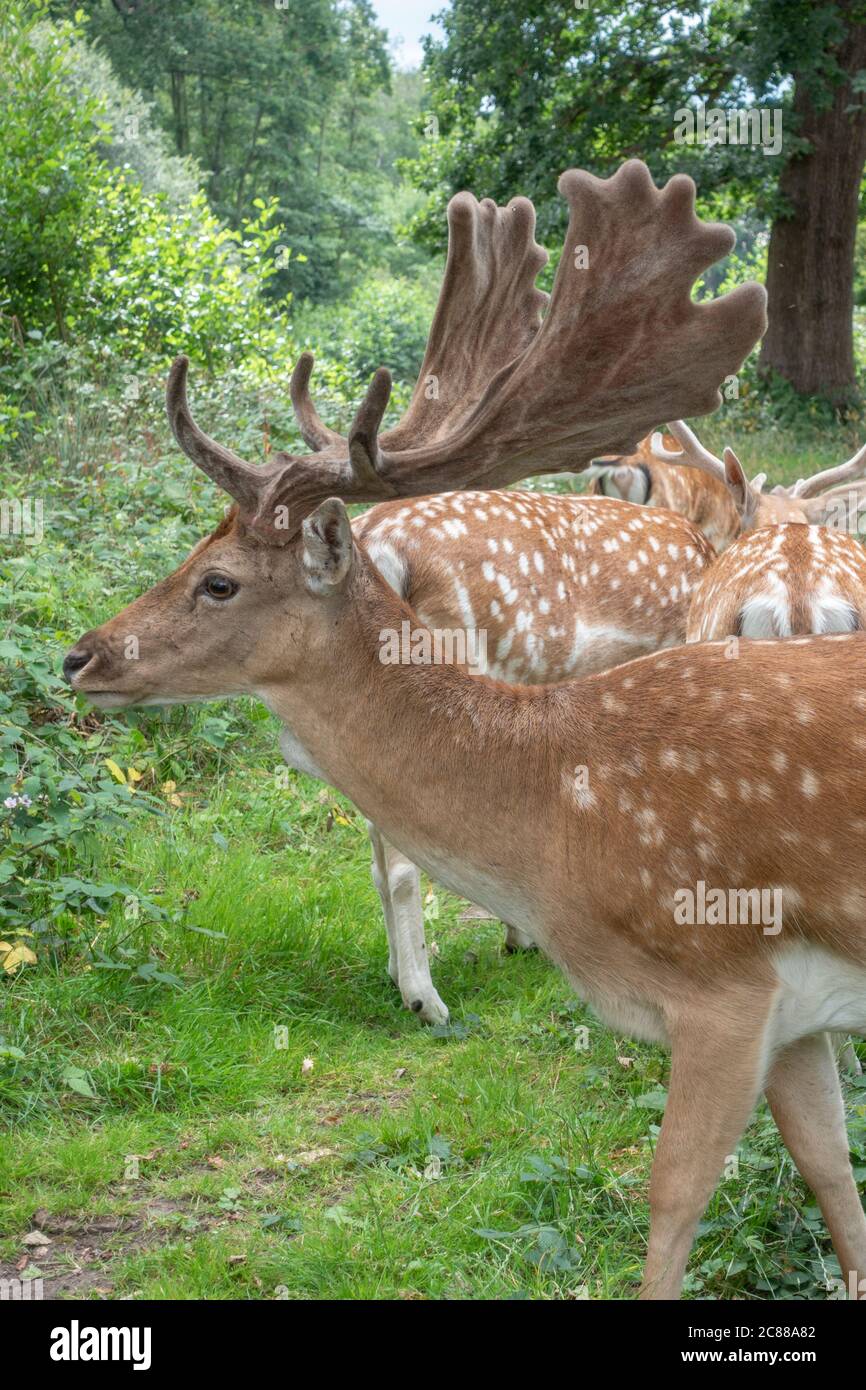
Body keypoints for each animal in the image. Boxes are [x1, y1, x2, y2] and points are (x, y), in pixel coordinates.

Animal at [63, 163, 866, 1302]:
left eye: (218, 580)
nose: (81, 658)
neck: (555, 807)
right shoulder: (788, 1013)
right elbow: (834, 1185)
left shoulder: (724, 980)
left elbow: (679, 1203)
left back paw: (427, 996)